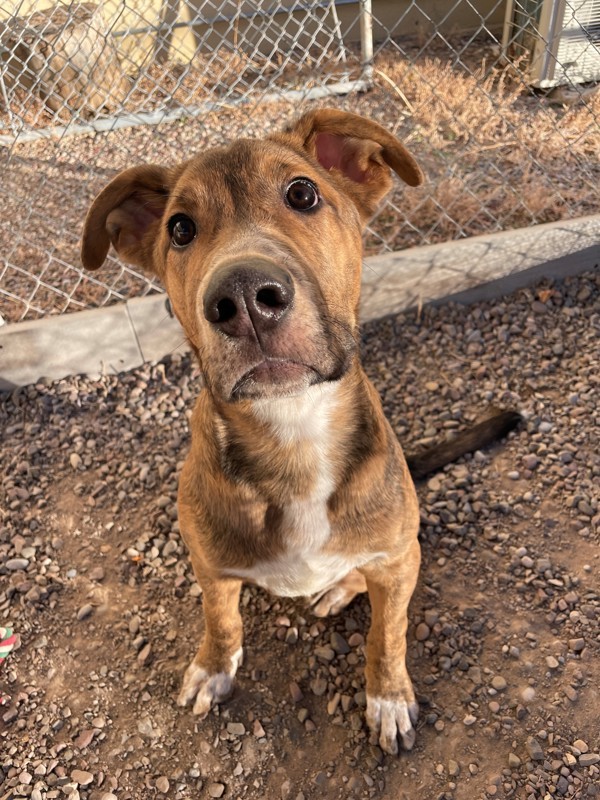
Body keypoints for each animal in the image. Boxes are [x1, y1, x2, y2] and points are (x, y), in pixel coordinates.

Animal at [82, 109, 516, 752]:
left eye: (302, 193)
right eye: (180, 229)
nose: (242, 298)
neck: (295, 429)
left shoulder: (398, 560)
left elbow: (387, 635)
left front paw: (388, 697)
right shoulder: (210, 566)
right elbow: (221, 619)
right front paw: (213, 668)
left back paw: (338, 587)